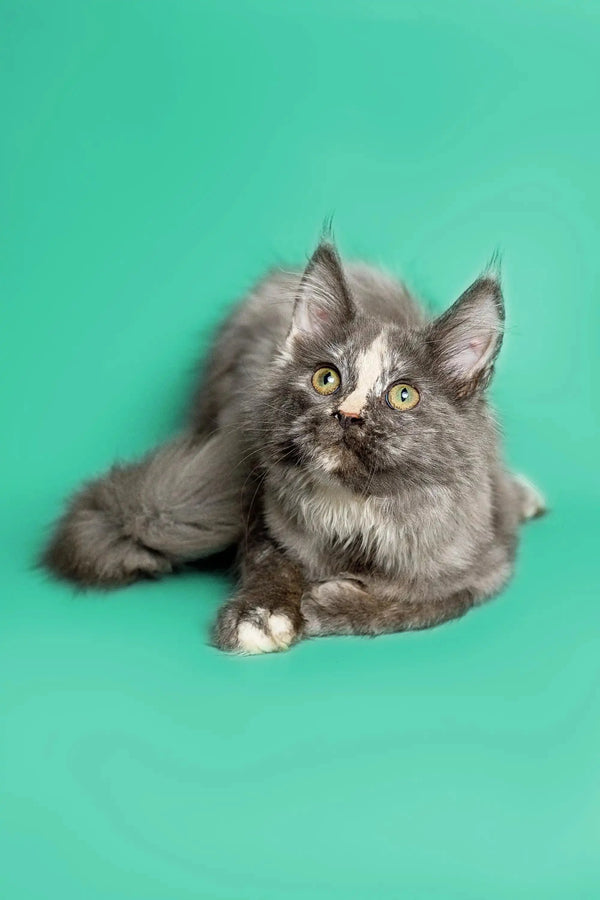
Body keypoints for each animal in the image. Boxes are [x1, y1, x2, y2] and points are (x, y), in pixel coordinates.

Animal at [44, 236, 548, 652]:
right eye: (326, 379)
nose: (347, 415)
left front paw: (326, 603)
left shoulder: (488, 562)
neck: (357, 509)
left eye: (403, 395)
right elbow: (270, 561)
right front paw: (263, 616)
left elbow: (424, 602)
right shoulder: (262, 516)